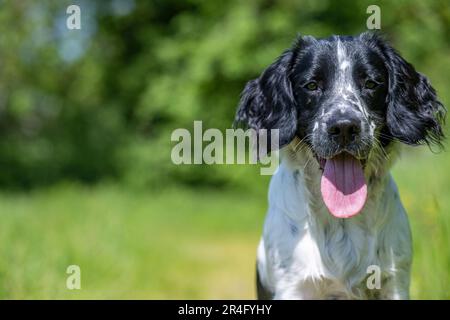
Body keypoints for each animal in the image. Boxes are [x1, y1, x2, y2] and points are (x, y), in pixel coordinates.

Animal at [234, 33, 444, 300]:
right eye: (312, 85)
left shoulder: (395, 281)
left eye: (371, 83)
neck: (341, 218)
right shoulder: (293, 286)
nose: (344, 127)